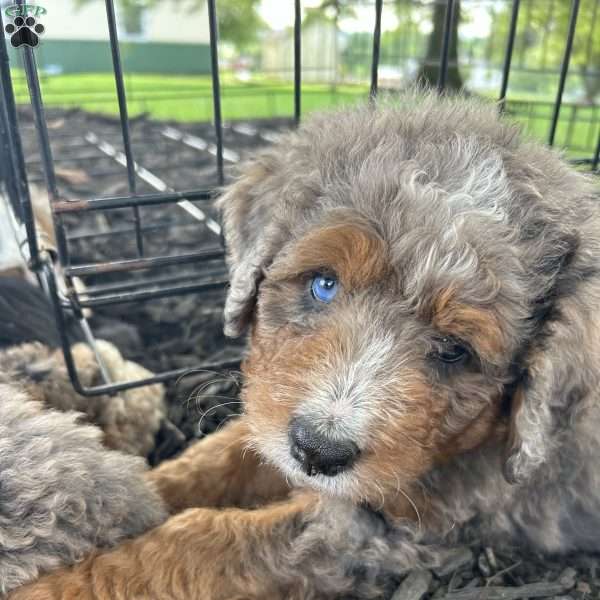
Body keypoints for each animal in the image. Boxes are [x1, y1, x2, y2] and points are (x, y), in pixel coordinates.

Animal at [11, 90, 600, 600]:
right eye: (323, 284)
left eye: (456, 349)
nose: (318, 451)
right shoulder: (276, 410)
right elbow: (215, 459)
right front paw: (143, 489)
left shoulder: (375, 528)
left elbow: (201, 544)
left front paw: (47, 586)